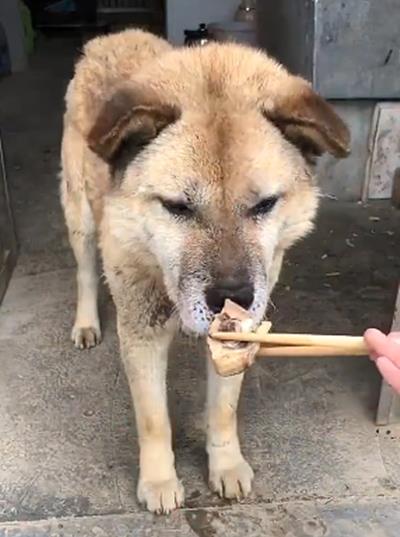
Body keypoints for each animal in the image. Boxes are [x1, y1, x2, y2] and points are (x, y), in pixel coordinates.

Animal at [60, 28, 350, 510]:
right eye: (177, 206)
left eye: (264, 205)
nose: (233, 297)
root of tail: (117, 35)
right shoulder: (141, 331)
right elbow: (154, 420)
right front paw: (159, 481)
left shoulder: (236, 339)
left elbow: (222, 410)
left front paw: (226, 465)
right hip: (80, 214)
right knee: (84, 270)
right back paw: (85, 323)